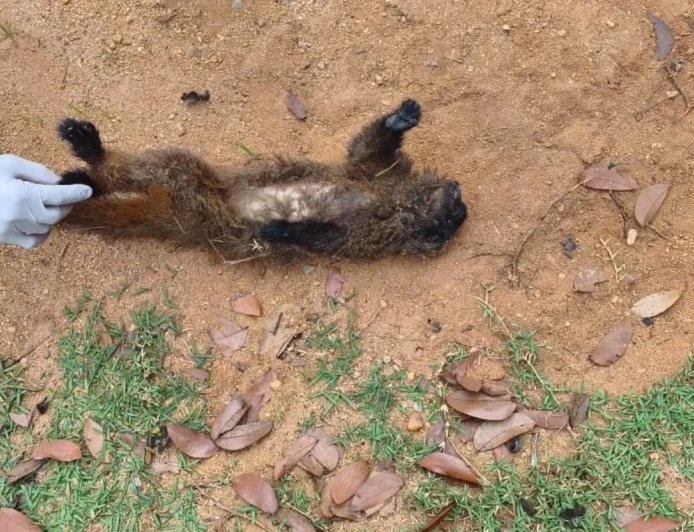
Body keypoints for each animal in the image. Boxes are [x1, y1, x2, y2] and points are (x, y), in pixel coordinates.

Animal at [56, 99, 467, 260]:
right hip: (212, 189)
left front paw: (283, 230)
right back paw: (94, 156)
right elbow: (364, 153)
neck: (397, 203)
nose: (461, 202)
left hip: (200, 205)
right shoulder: (381, 175)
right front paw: (399, 121)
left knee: (172, 170)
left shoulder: (373, 237)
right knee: (162, 166)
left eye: (452, 219)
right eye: (456, 208)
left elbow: (325, 239)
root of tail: (179, 220)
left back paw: (91, 177)